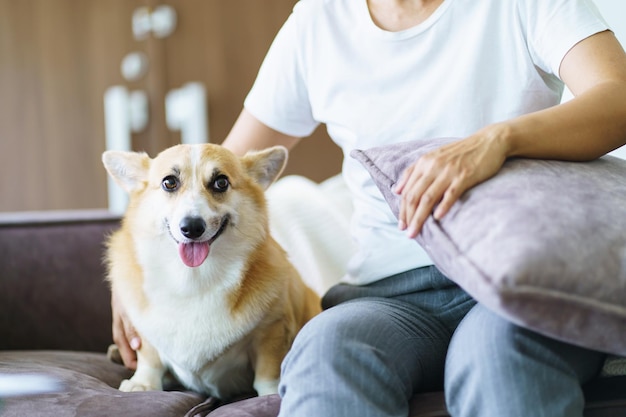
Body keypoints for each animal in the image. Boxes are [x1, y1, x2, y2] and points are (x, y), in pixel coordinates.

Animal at [102, 144, 320, 400]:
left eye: (221, 182)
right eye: (169, 182)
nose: (192, 227)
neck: (193, 280)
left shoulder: (271, 329)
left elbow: (268, 369)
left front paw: (270, 394)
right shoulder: (144, 330)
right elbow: (149, 356)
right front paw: (143, 384)